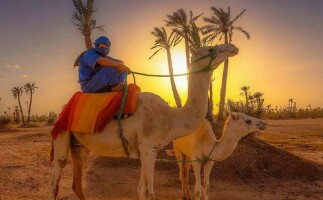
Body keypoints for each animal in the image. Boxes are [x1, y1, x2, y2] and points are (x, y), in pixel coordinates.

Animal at [50, 43, 238, 200]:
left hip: (80, 146)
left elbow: (141, 190)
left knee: (77, 183)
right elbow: (148, 193)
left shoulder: (146, 150)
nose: (232, 47)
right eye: (210, 48)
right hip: (61, 134)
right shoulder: (149, 148)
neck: (171, 118)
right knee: (56, 181)